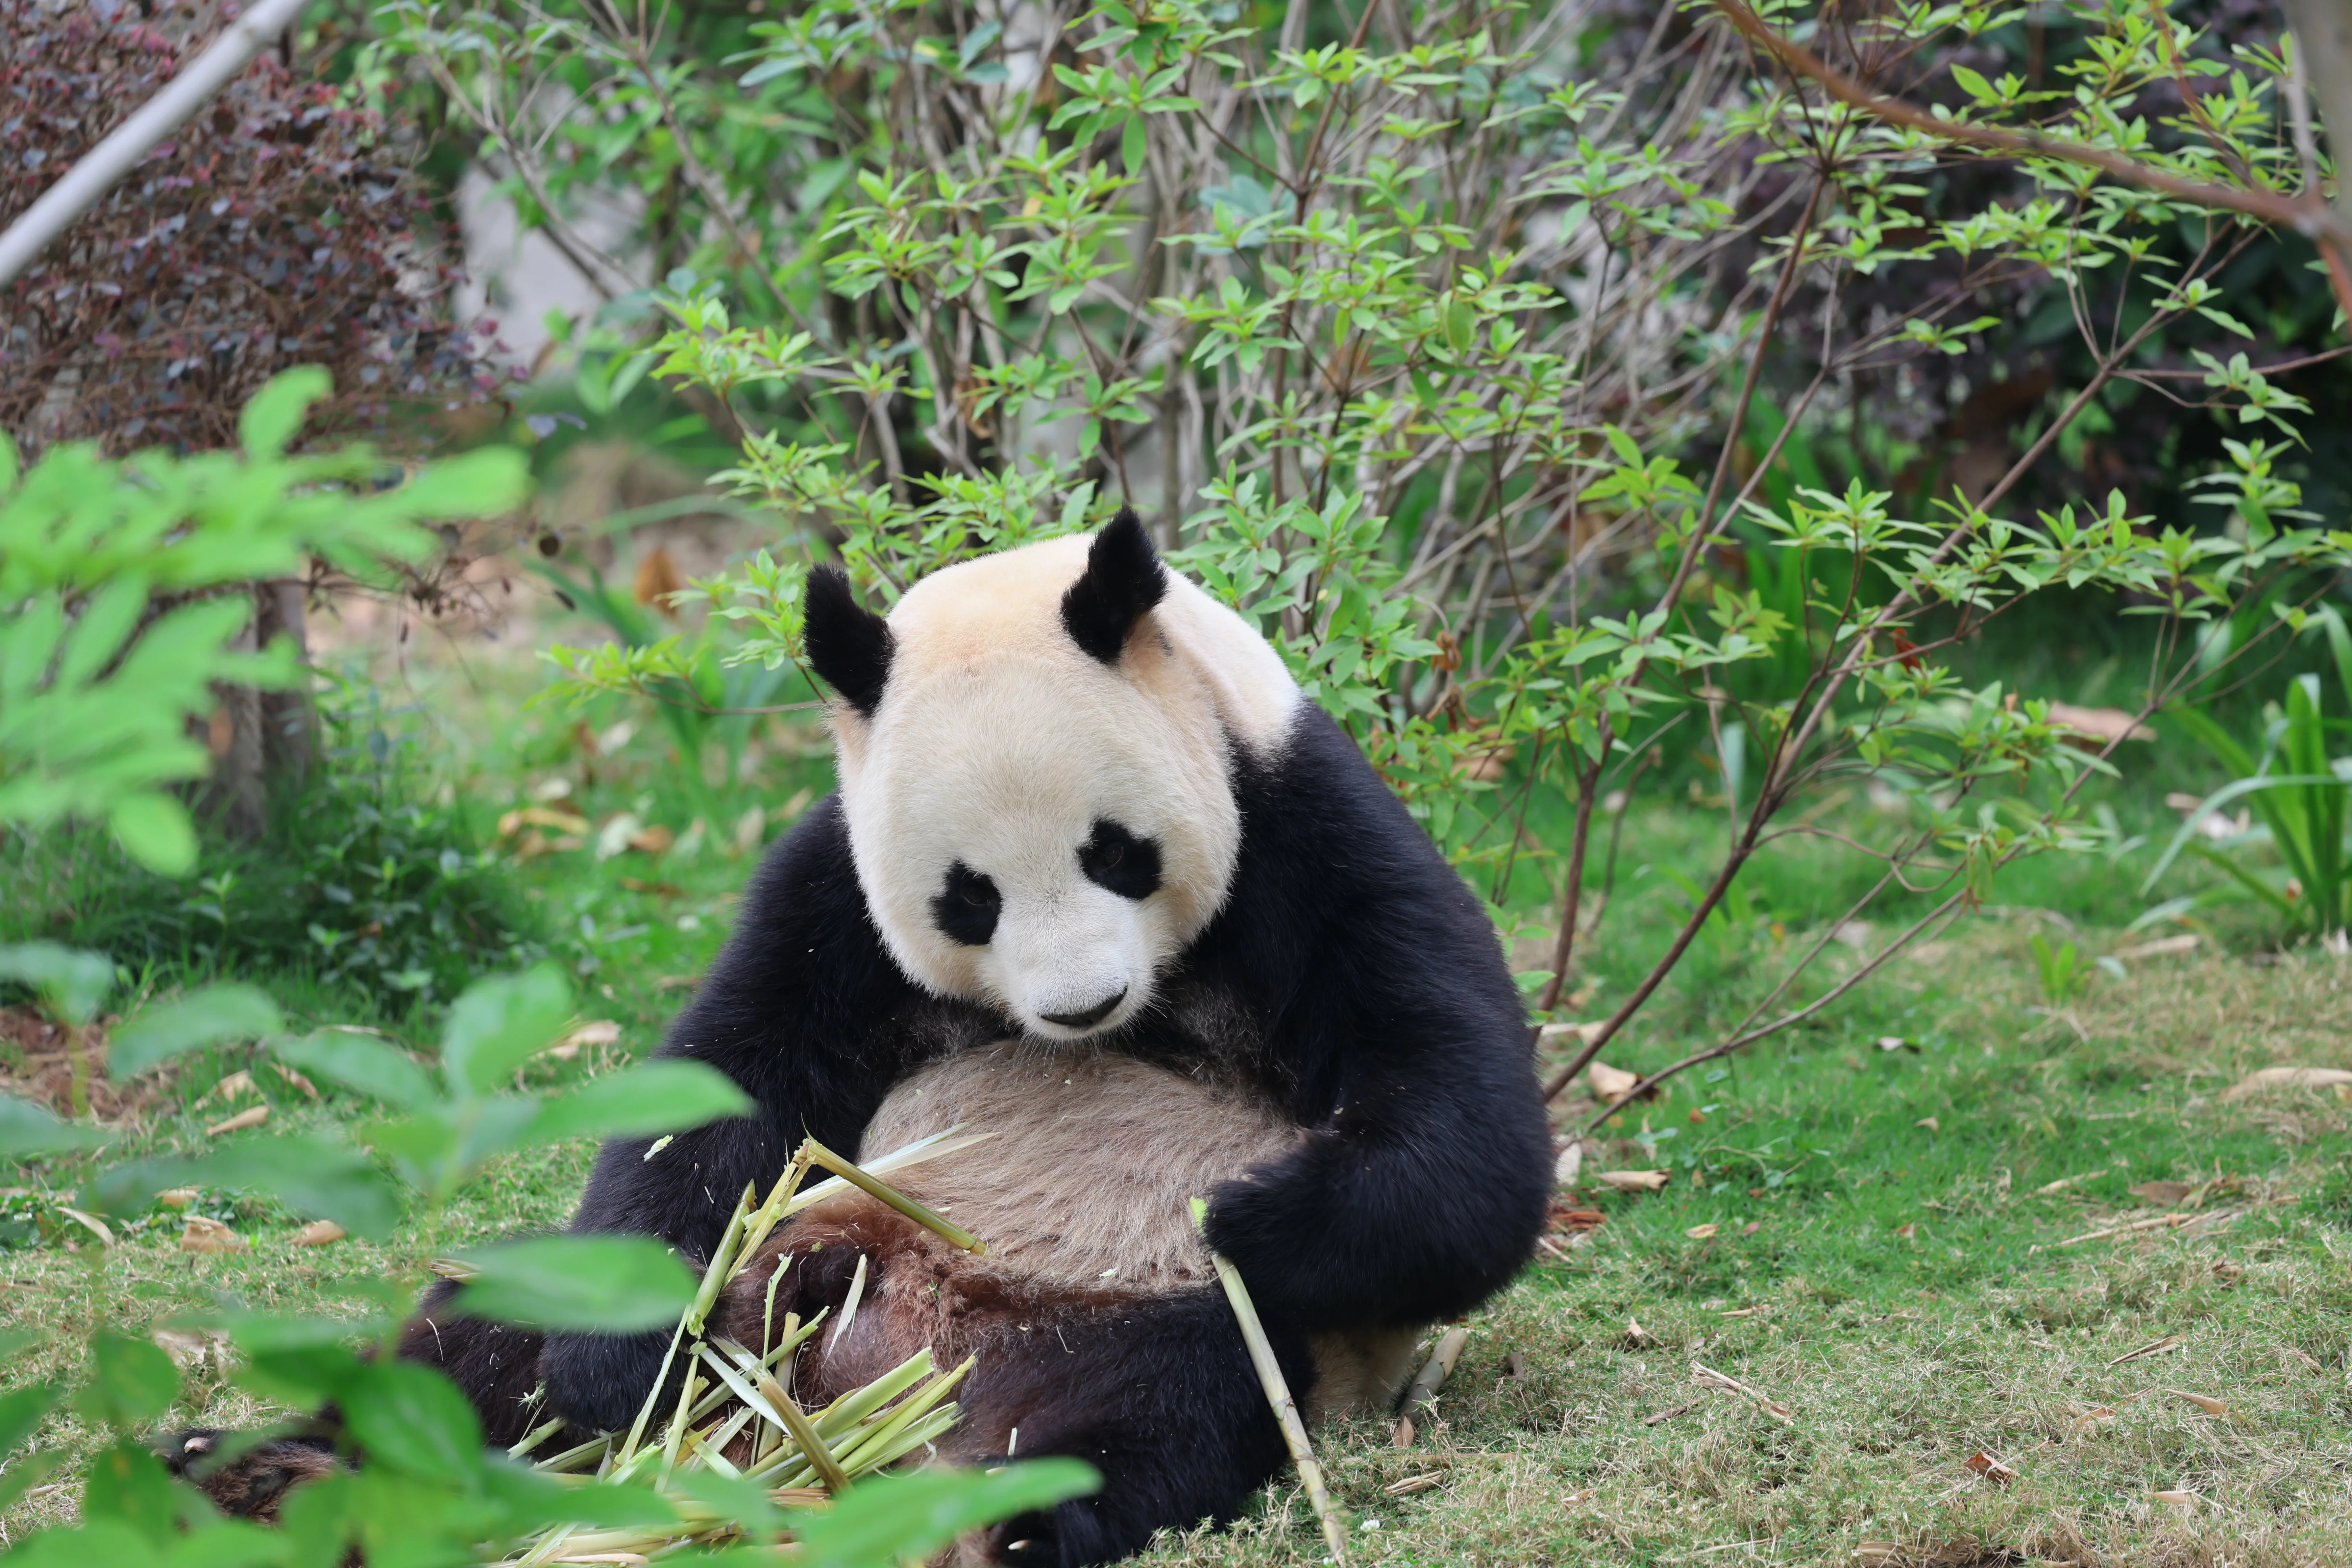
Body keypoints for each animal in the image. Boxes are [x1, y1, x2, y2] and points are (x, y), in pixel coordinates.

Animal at [194, 513, 1554, 1564]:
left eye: (1115, 850)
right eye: (968, 896)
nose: (1079, 1008)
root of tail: (859, 1377)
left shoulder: (1303, 833)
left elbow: (1465, 1151)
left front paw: (1242, 1209)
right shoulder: (828, 890)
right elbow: (722, 1088)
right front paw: (619, 1365)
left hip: (1138, 1323)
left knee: (1156, 1406)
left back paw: (1019, 1522)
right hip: (765, 1260)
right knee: (480, 1331)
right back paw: (263, 1469)